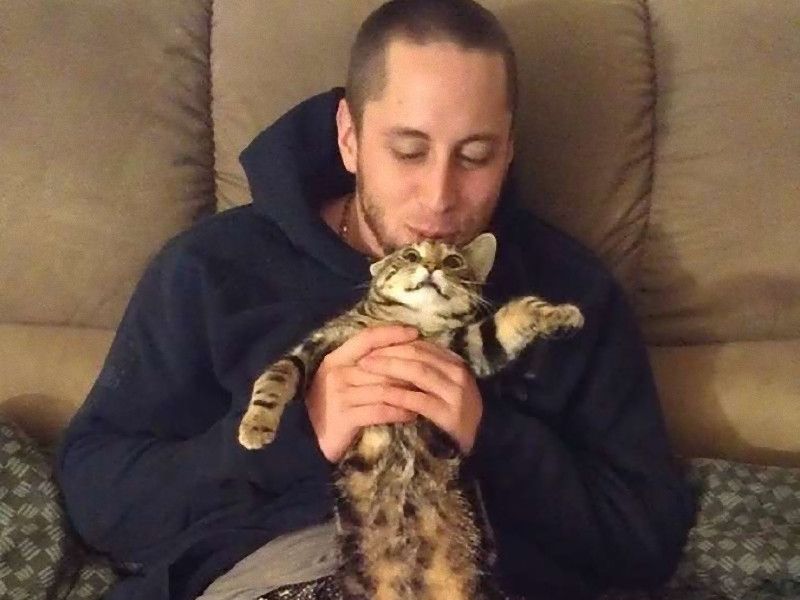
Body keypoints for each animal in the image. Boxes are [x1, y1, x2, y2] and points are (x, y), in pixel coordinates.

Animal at [238, 232, 584, 600]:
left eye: (453, 261)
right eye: (410, 255)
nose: (431, 266)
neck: (413, 321)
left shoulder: (464, 348)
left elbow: (511, 317)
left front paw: (563, 314)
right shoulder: (321, 344)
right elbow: (276, 375)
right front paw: (255, 426)